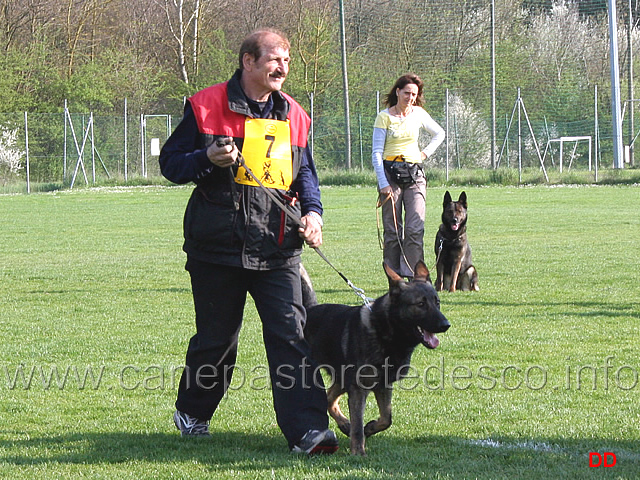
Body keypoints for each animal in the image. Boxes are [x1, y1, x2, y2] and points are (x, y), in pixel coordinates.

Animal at [300, 260, 450, 456]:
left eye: (437, 302)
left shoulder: (383, 385)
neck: (385, 331)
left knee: (329, 398)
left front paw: (370, 428)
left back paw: (344, 424)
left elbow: (387, 418)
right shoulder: (358, 389)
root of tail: (309, 309)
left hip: (343, 380)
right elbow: (358, 425)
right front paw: (358, 452)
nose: (446, 325)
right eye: (420, 304)